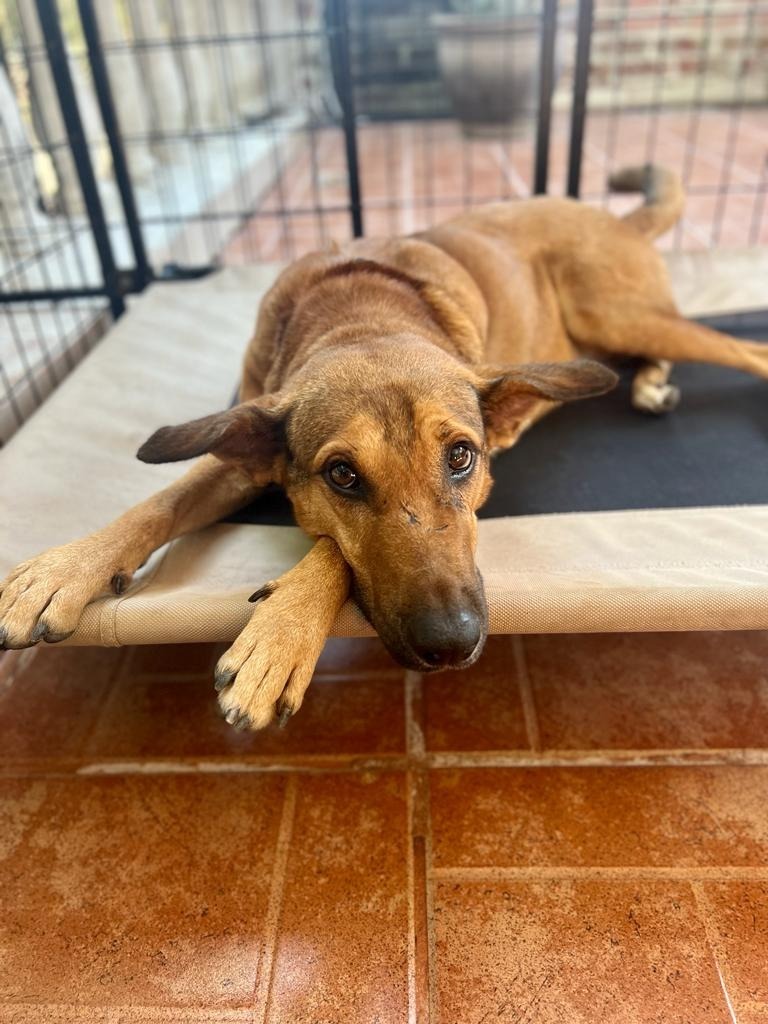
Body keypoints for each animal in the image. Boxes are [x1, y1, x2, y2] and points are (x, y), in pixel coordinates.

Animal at [1, 165, 768, 729]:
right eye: (342, 475)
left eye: (461, 458)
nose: (452, 643)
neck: (360, 312)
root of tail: (613, 218)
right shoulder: (239, 450)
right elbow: (158, 503)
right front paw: (63, 571)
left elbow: (328, 553)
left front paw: (279, 635)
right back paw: (651, 383)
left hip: (617, 311)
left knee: (741, 348)